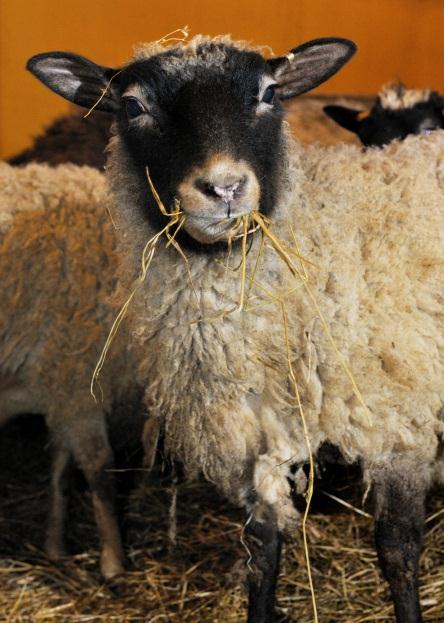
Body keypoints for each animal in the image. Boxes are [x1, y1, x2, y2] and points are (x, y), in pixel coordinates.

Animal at [0, 162, 144, 580]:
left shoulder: (60, 388)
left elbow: (60, 466)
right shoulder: (79, 383)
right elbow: (99, 472)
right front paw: (113, 560)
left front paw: (55, 543)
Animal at [28, 34, 444, 623]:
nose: (223, 187)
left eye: (269, 93)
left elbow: (398, 550)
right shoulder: (250, 435)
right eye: (132, 106)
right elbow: (261, 548)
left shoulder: (398, 420)